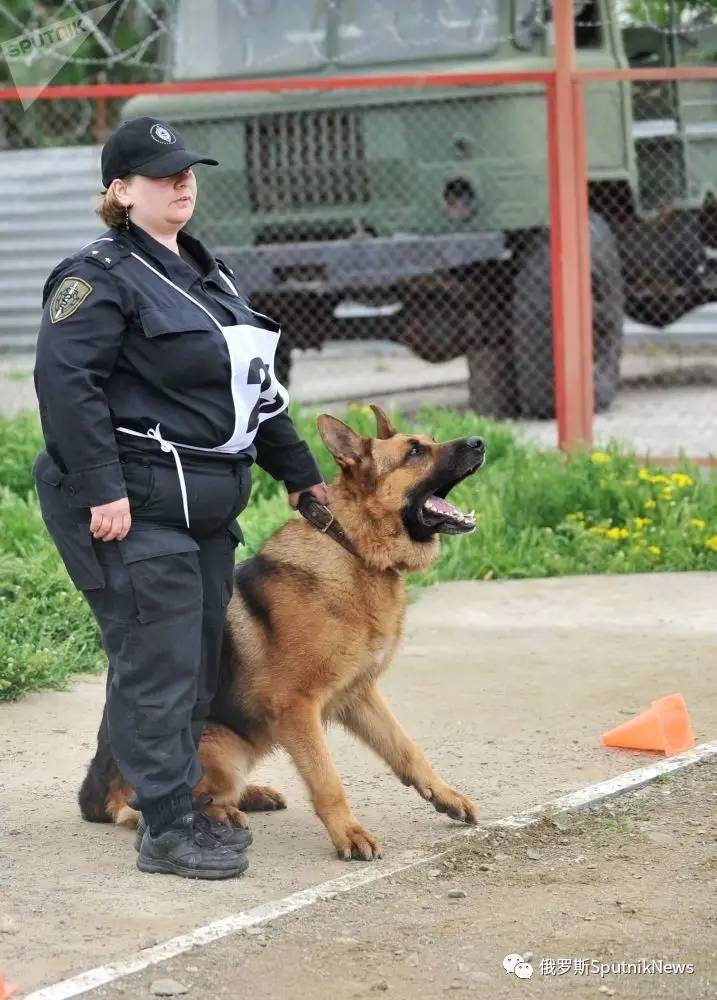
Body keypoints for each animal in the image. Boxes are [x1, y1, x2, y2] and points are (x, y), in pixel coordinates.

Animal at [78, 406, 484, 860]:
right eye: (415, 452)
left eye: (428, 441)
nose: (480, 442)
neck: (351, 548)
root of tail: (95, 795)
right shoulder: (299, 709)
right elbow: (327, 779)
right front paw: (349, 833)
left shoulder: (360, 696)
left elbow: (407, 750)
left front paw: (445, 795)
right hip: (224, 749)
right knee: (143, 810)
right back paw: (220, 813)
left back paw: (251, 797)